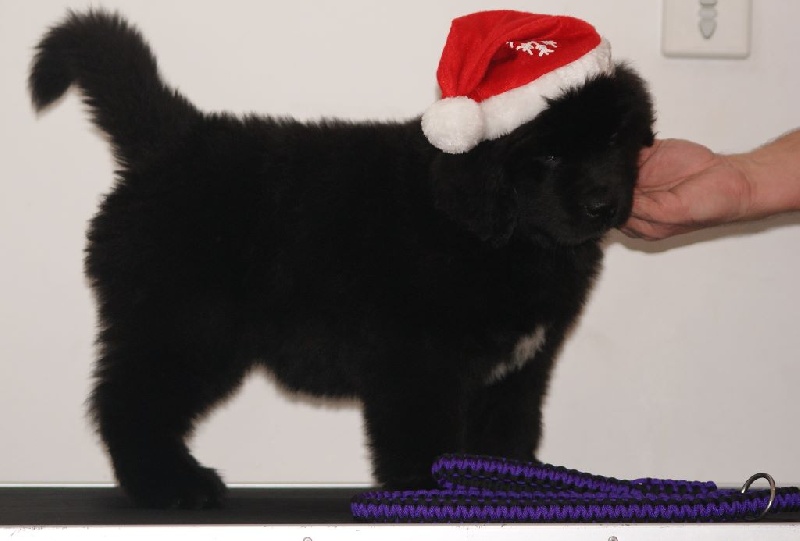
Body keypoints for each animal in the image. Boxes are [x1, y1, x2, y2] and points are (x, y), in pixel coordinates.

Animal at [29, 10, 654, 508]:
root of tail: (175, 140)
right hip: (186, 328)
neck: (499, 238)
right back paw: (173, 485)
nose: (605, 205)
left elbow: (506, 437)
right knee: (129, 403)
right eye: (545, 157)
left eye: (615, 139)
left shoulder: (519, 370)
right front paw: (426, 496)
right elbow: (423, 439)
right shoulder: (418, 362)